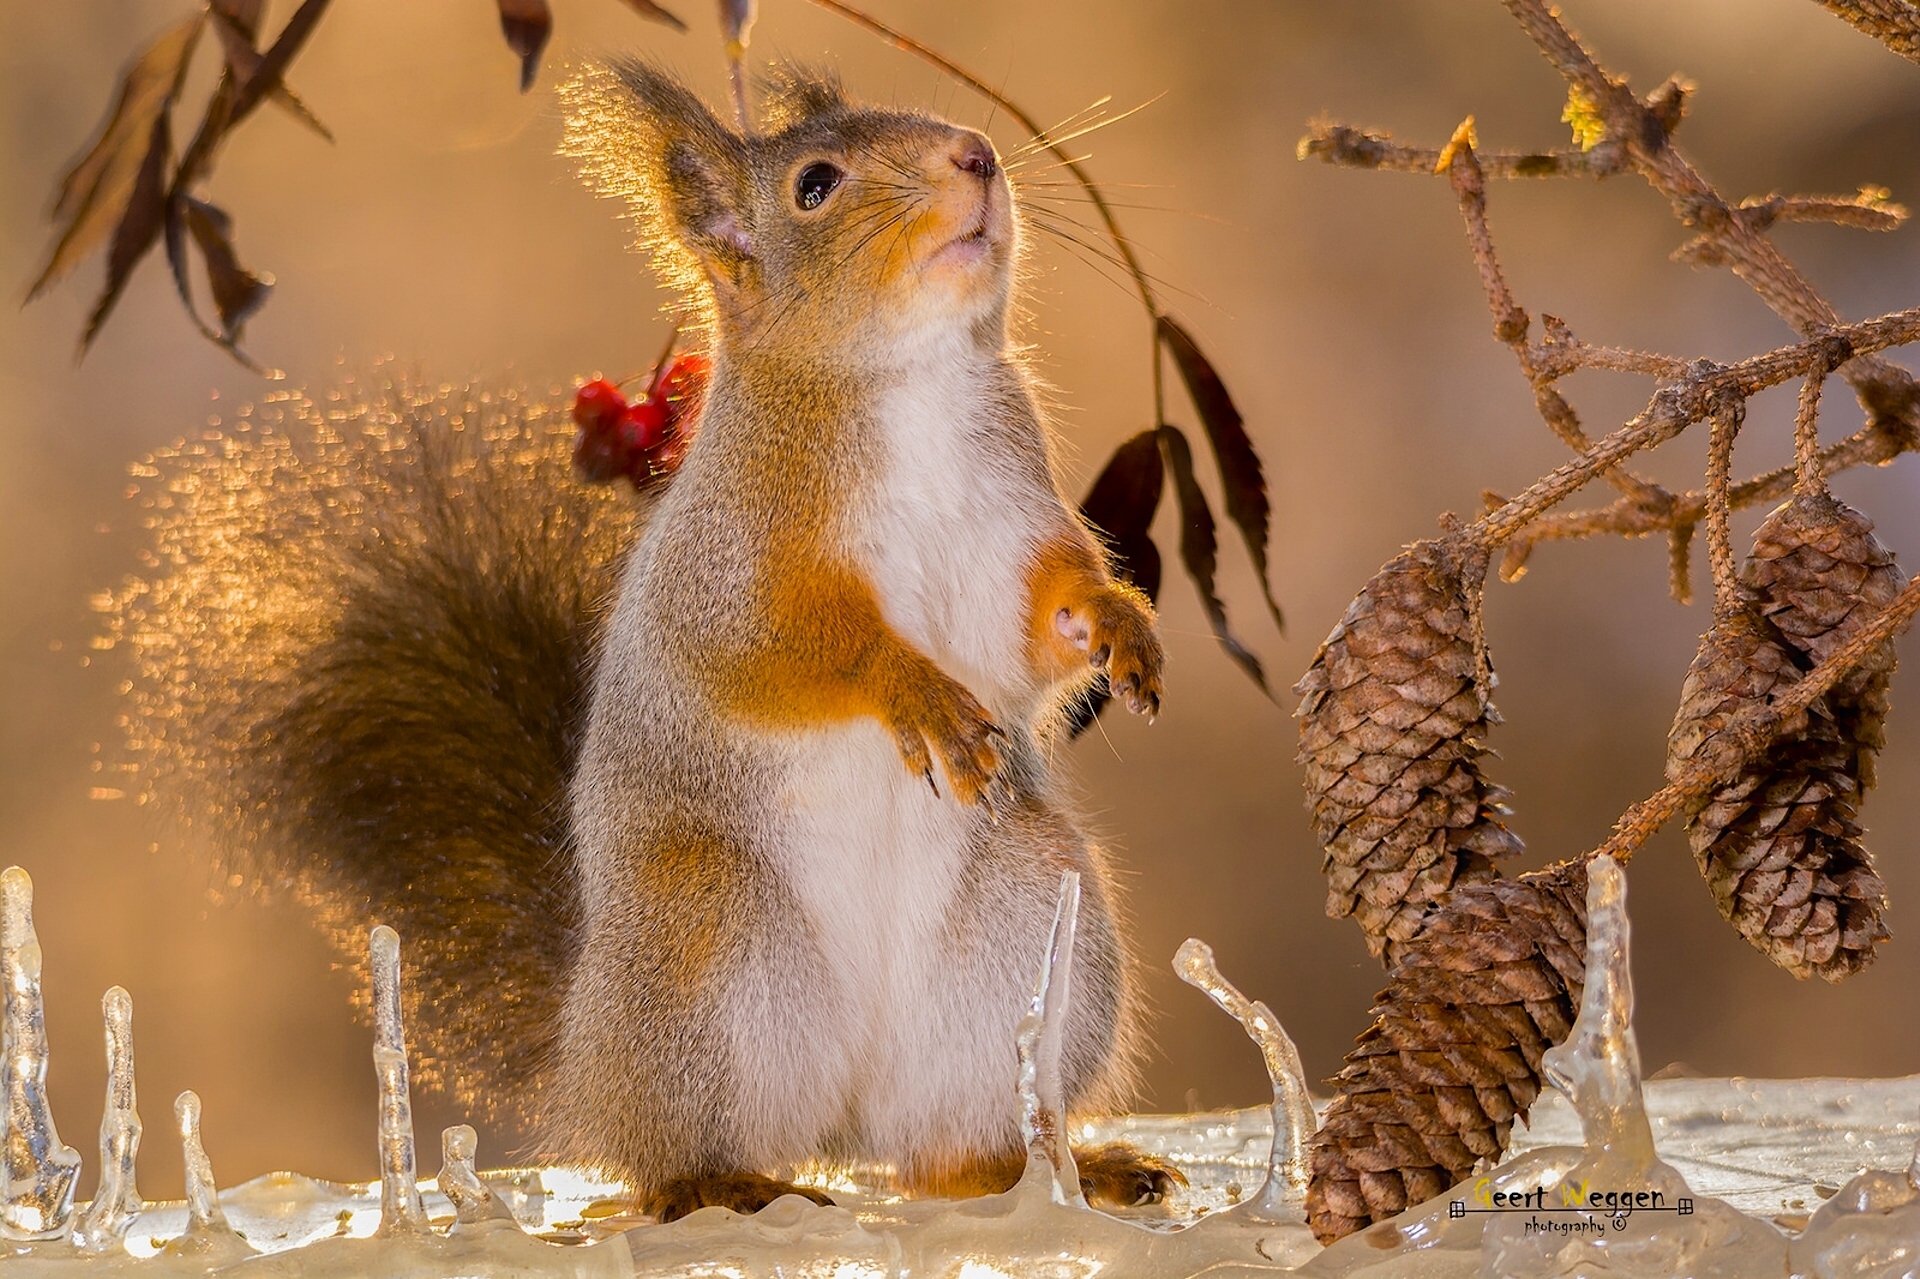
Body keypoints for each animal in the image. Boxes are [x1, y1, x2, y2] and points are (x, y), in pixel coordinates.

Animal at [114, 60, 1172, 1220]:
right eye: (815, 185)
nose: (976, 154)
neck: (914, 383)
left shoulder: (1008, 531)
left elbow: (1038, 631)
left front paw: (1119, 621)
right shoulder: (733, 569)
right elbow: (787, 652)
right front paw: (916, 689)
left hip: (1030, 927)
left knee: (943, 1153)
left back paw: (1053, 1167)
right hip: (704, 950)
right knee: (672, 1154)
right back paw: (724, 1182)